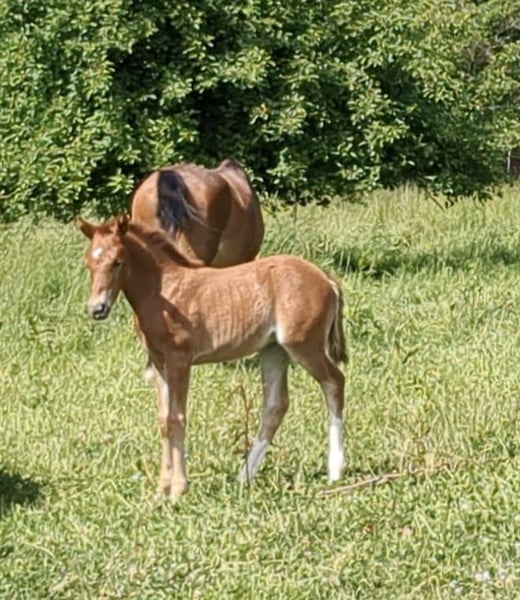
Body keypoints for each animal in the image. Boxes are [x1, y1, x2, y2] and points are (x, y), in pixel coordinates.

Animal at [78, 215, 348, 501]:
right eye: (89, 263)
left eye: (118, 261)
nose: (97, 308)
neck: (164, 291)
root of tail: (326, 279)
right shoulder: (159, 363)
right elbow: (163, 421)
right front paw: (161, 489)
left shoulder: (179, 360)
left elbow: (176, 418)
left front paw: (178, 489)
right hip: (274, 351)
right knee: (275, 406)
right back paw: (244, 475)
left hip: (304, 346)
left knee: (334, 383)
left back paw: (335, 469)